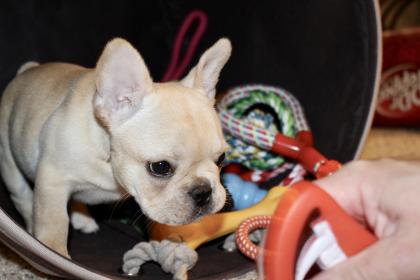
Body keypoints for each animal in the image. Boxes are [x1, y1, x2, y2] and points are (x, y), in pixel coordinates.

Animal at [0, 37, 230, 258]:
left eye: (222, 159)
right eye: (160, 167)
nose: (203, 192)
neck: (108, 158)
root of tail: (28, 70)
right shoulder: (53, 182)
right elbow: (55, 224)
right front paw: (53, 251)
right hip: (9, 159)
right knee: (21, 193)